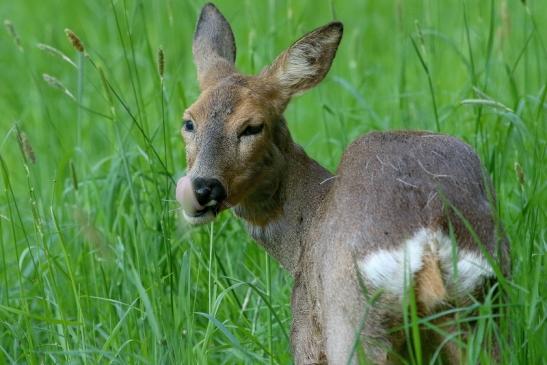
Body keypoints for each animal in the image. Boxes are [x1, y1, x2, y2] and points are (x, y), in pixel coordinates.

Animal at [177, 3, 510, 364]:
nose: (202, 188)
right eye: (189, 122)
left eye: (253, 126)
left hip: (351, 318)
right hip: (482, 307)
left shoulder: (307, 329)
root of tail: (429, 239)